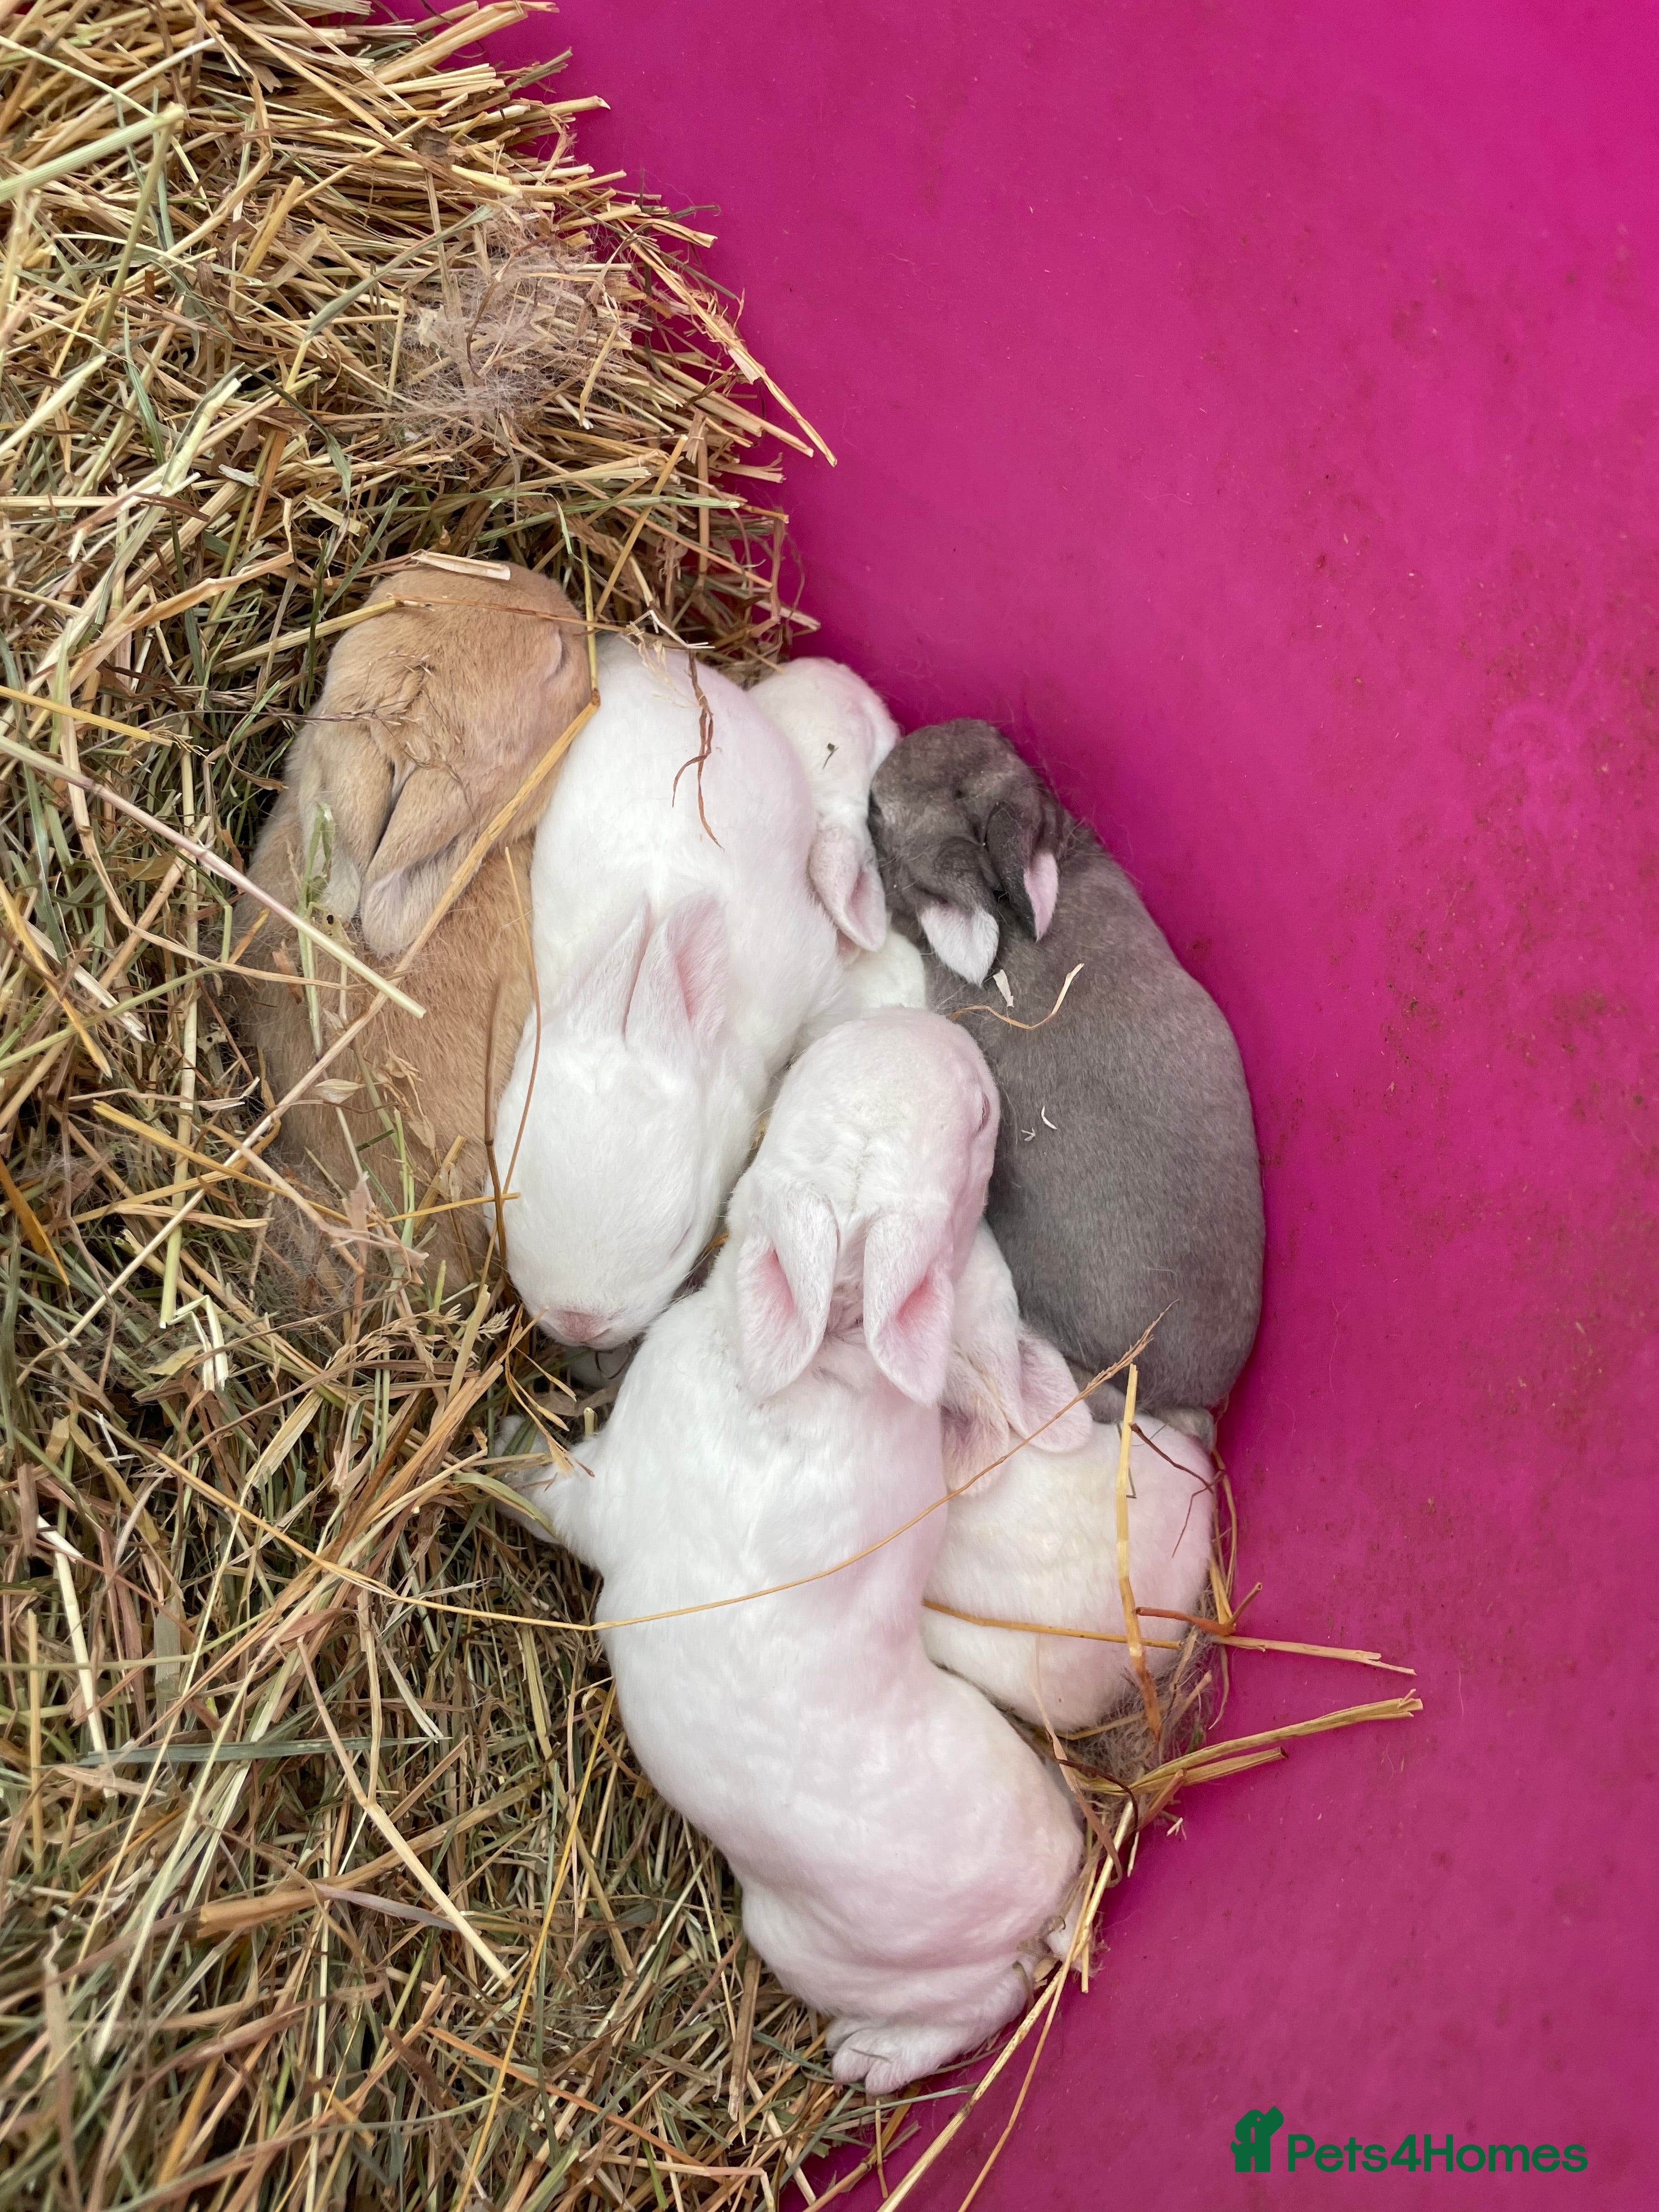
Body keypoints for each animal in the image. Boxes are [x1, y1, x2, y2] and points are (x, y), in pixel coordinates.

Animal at [506, 1009, 1083, 2095]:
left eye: (980, 1128)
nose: (918, 1024)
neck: (823, 1349)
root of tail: (1054, 1892)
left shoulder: (613, 1494)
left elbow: (561, 1495)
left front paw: (504, 1454)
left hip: (813, 1946)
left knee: (985, 2001)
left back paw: (867, 2060)